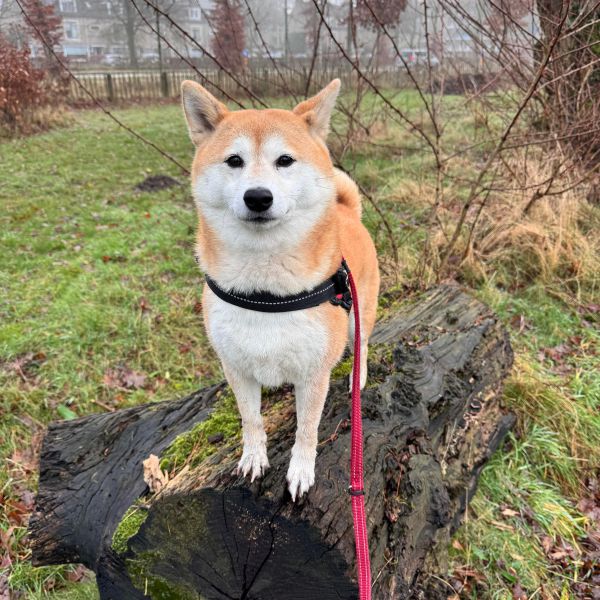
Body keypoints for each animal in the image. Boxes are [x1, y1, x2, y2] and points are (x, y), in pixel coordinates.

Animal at [180, 81, 380, 502]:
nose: (258, 196)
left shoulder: (314, 375)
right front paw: (253, 457)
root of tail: (347, 212)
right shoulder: (236, 367)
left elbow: (307, 430)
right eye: (234, 161)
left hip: (360, 313)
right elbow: (251, 420)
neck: (266, 294)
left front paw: (301, 470)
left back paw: (358, 377)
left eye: (285, 160)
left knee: (362, 345)